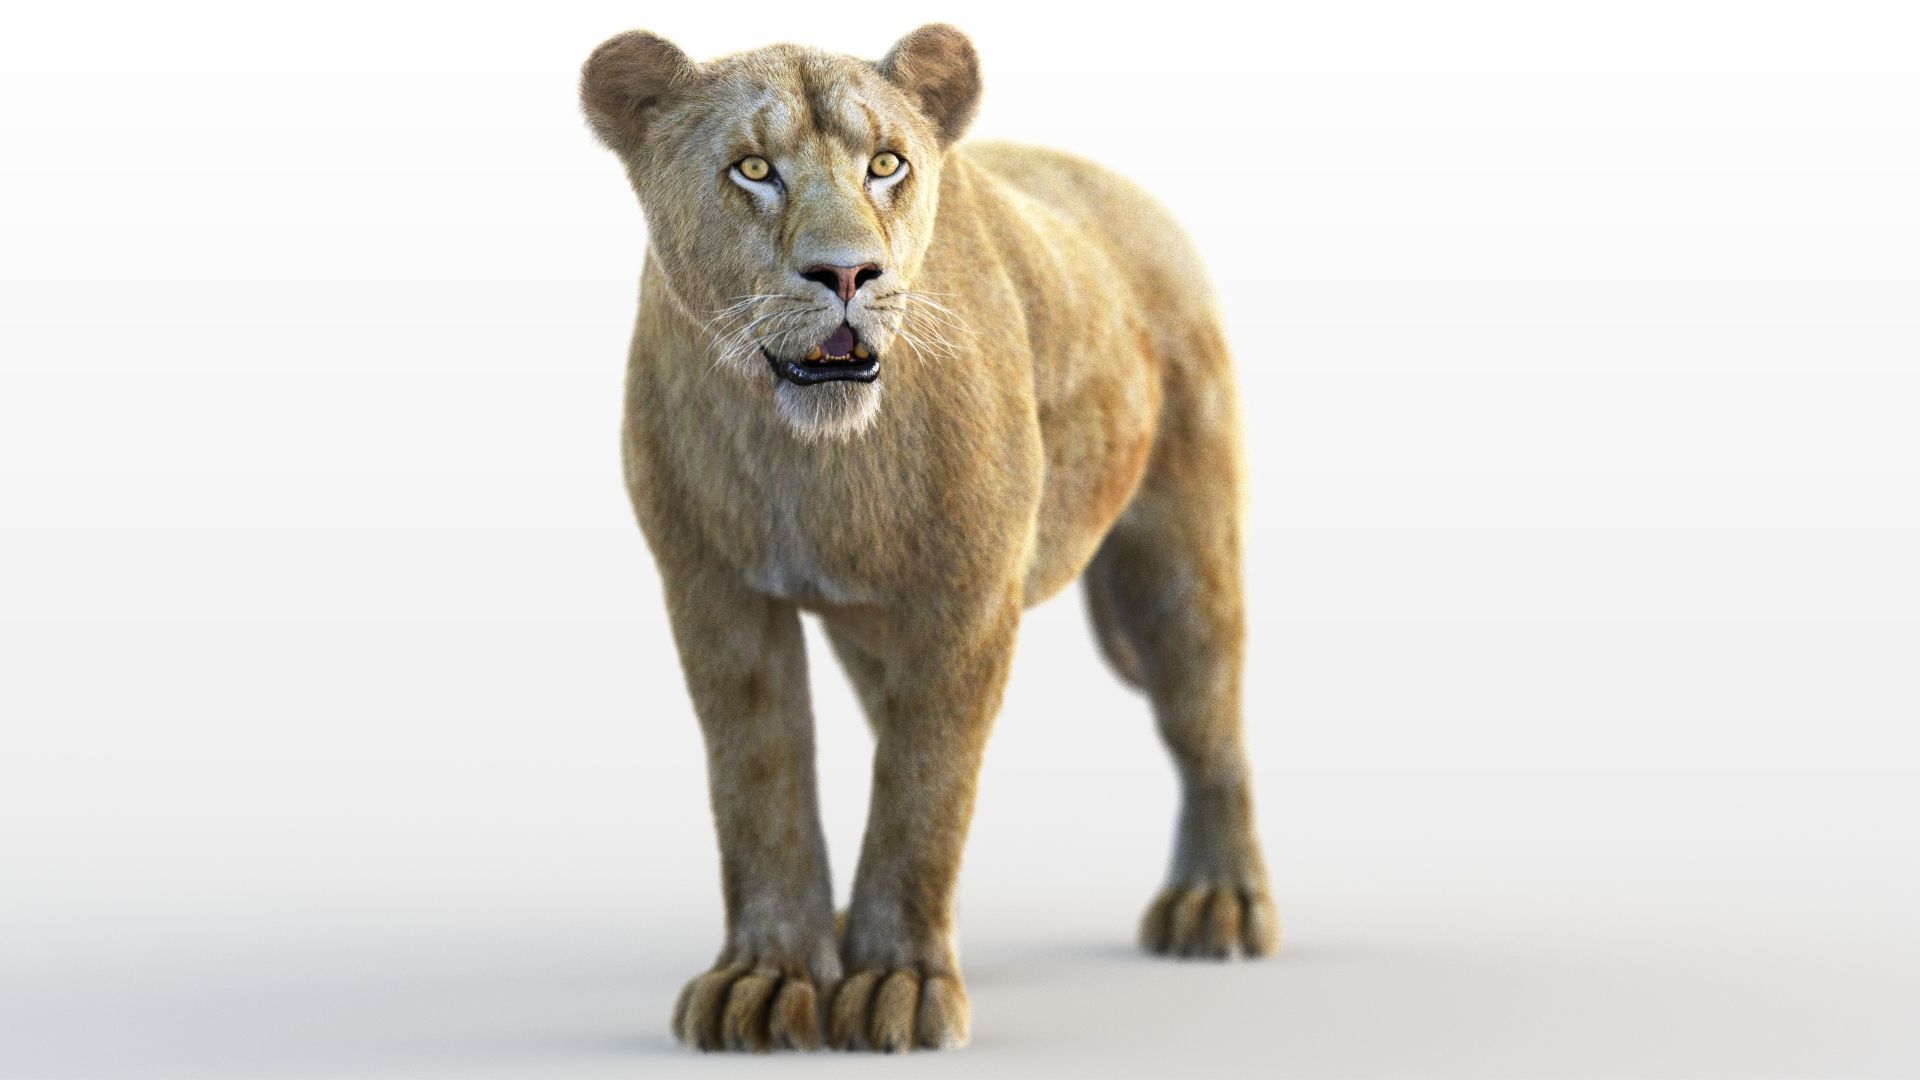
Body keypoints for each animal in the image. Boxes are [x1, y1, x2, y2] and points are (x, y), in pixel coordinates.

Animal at [580, 23, 1279, 1053]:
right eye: (753, 169)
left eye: (885, 165)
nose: (846, 274)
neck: (811, 459)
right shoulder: (713, 592)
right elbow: (759, 784)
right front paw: (769, 977)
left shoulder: (967, 597)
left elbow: (925, 786)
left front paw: (895, 986)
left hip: (1180, 550)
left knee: (1209, 721)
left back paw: (1217, 904)